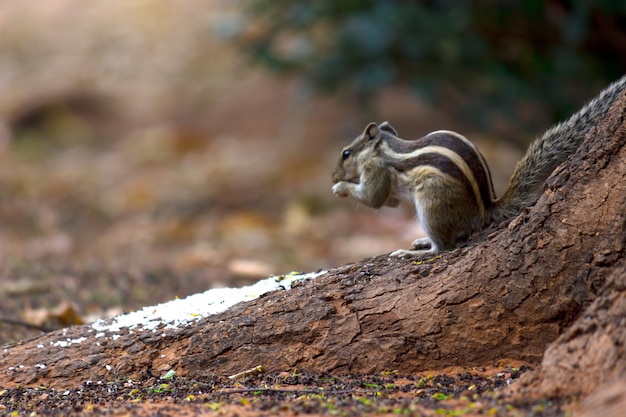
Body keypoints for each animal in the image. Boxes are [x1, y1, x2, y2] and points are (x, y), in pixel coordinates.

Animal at [332, 75, 624, 256]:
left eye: (346, 153)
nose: (333, 175)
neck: (385, 147)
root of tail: (482, 211)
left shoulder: (377, 170)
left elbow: (372, 199)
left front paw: (340, 187)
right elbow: (387, 202)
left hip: (431, 202)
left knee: (444, 245)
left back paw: (416, 251)